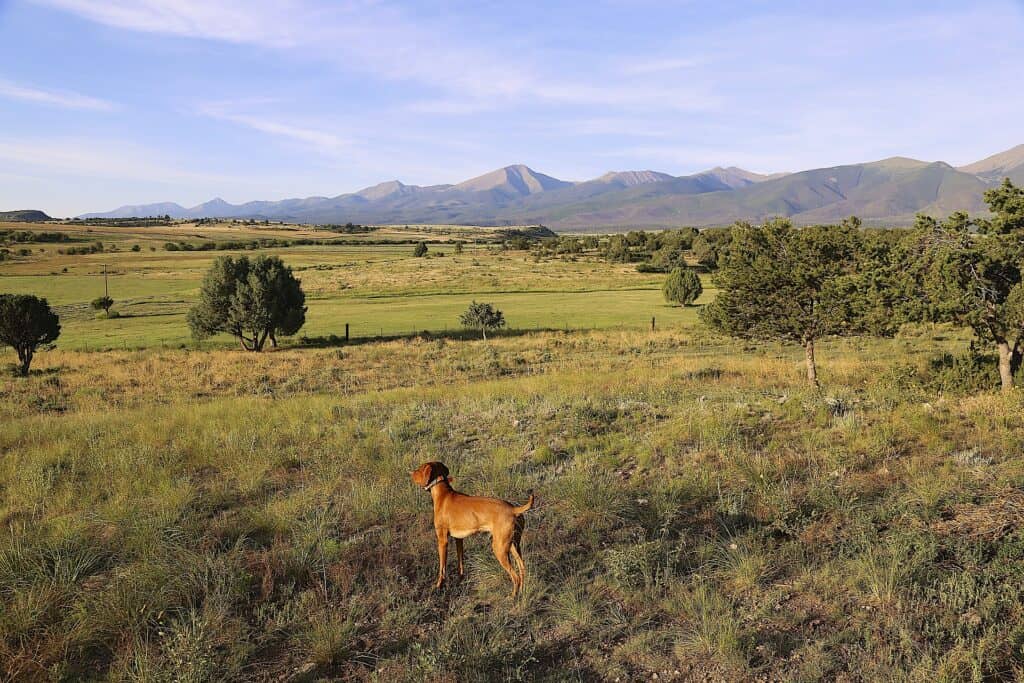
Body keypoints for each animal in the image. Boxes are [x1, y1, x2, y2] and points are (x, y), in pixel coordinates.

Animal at [409, 462, 536, 593]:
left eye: (419, 469)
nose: (410, 473)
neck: (443, 495)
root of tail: (514, 509)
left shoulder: (442, 540)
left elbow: (442, 568)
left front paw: (439, 585)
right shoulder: (459, 539)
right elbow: (460, 562)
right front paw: (460, 580)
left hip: (499, 548)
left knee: (515, 577)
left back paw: (512, 596)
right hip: (513, 545)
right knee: (522, 569)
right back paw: (522, 591)